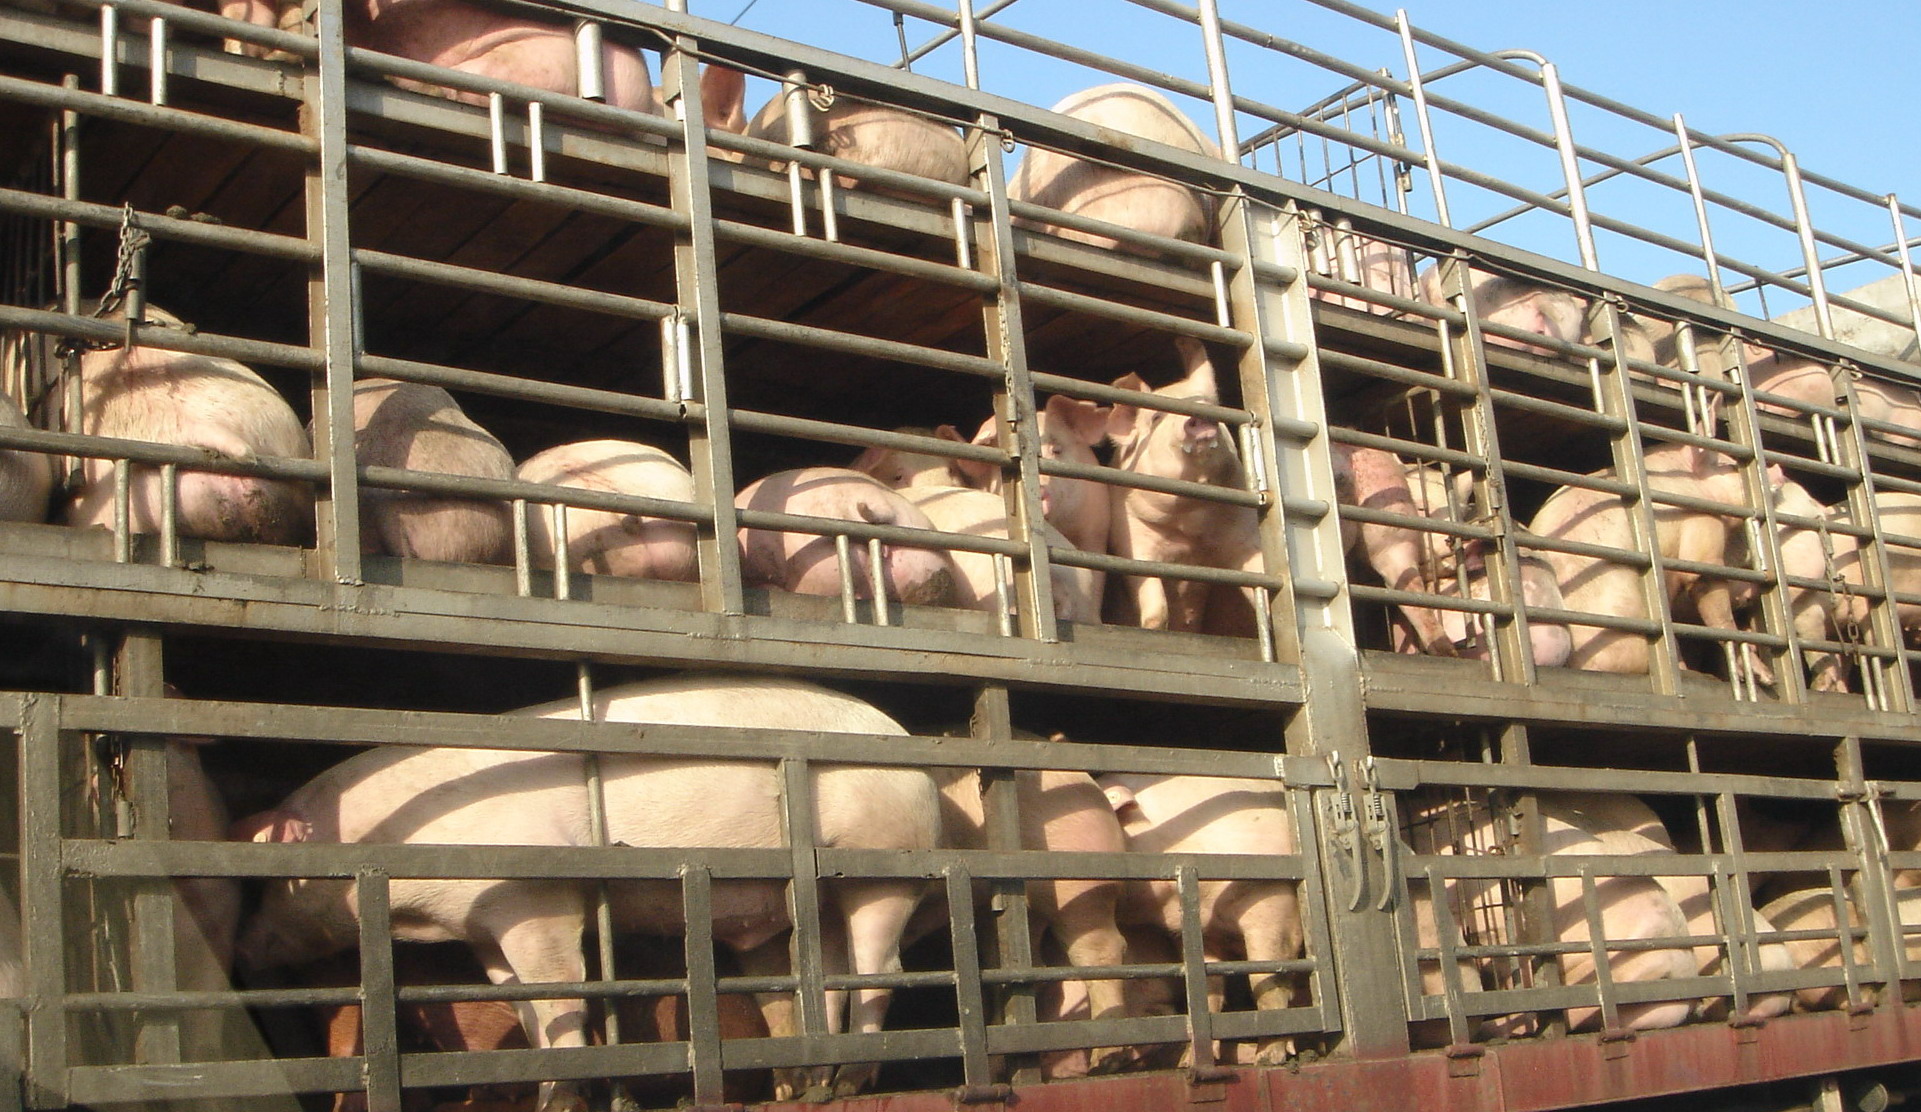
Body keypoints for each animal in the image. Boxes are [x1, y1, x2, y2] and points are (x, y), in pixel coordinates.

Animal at [233, 674, 940, 1109]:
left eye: (259, 888)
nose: (239, 955)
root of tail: (908, 743)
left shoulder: (533, 896)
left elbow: (560, 988)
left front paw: (563, 1099)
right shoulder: (481, 927)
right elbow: (524, 1005)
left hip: (884, 858)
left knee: (882, 967)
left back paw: (849, 1082)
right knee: (812, 979)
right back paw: (802, 1087)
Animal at [1096, 773, 1302, 1066]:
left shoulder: (1274, 902)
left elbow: (1267, 977)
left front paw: (1267, 1058)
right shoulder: (1203, 932)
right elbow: (1207, 988)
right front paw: (1188, 1062)